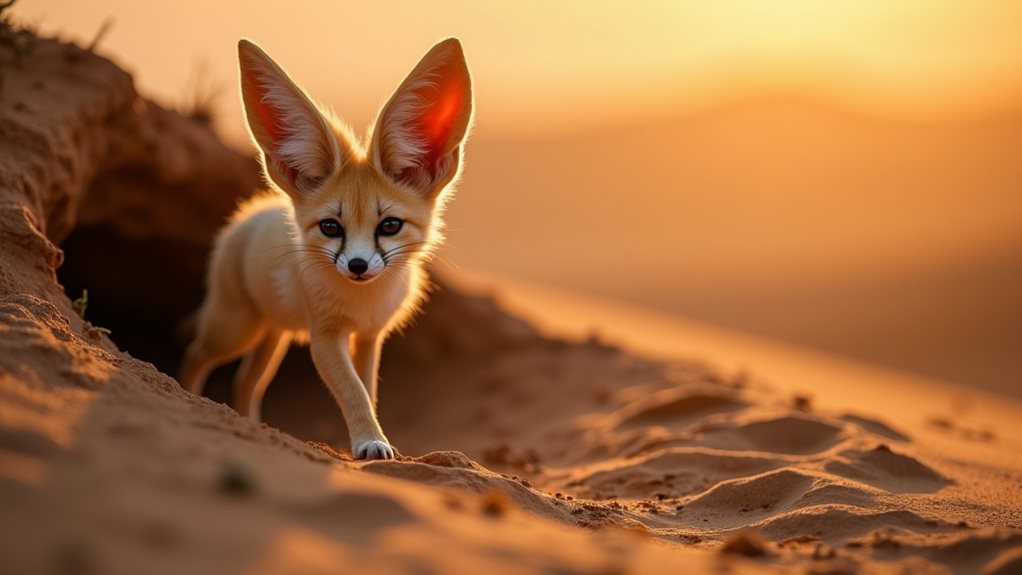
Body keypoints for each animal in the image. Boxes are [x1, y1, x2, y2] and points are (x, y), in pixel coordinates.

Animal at [177, 38, 473, 460]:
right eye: (331, 227)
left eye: (390, 226)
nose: (358, 265)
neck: (363, 301)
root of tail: (250, 212)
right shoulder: (325, 336)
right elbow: (353, 393)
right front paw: (369, 442)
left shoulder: (369, 336)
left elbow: (367, 389)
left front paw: (376, 438)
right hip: (236, 329)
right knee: (197, 352)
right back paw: (188, 397)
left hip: (273, 335)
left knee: (246, 380)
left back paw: (251, 426)